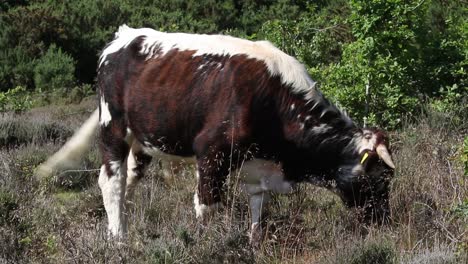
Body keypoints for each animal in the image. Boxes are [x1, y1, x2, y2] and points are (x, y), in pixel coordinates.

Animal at [38, 25, 394, 245]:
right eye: (378, 180)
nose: (384, 224)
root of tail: (125, 35)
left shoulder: (258, 163)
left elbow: (258, 205)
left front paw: (253, 243)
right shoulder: (212, 153)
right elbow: (207, 205)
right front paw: (205, 244)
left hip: (144, 139)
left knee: (129, 181)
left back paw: (126, 226)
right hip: (113, 126)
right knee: (111, 181)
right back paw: (118, 238)